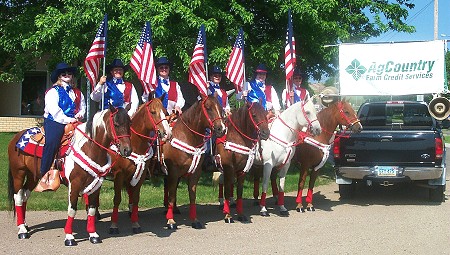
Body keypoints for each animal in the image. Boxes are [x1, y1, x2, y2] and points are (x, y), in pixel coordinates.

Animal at [162, 93, 225, 229]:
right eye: (208, 108)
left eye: (220, 108)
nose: (221, 129)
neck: (186, 137)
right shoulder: (173, 172)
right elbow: (171, 195)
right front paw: (170, 221)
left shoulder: (195, 173)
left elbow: (192, 196)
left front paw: (195, 220)